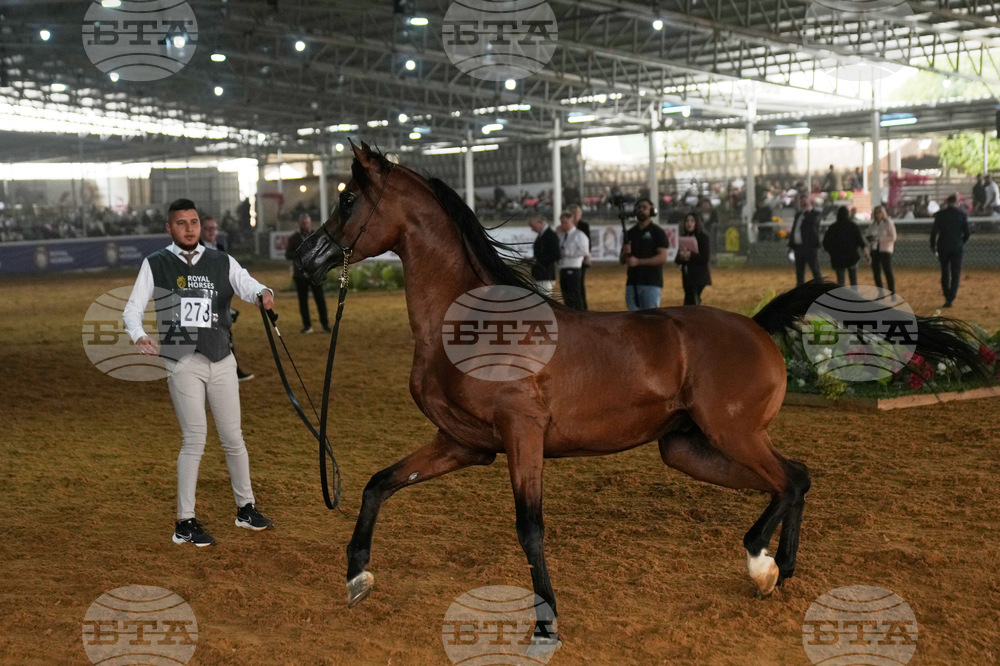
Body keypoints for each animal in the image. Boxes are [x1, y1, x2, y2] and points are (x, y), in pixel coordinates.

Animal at [295, 142, 988, 645]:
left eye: (348, 199)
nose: (304, 257)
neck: (471, 324)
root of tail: (756, 325)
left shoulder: (522, 437)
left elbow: (530, 529)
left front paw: (546, 623)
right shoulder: (465, 444)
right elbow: (378, 484)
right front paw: (356, 575)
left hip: (730, 433)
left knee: (789, 480)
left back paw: (762, 563)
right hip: (688, 448)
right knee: (794, 477)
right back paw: (774, 568)